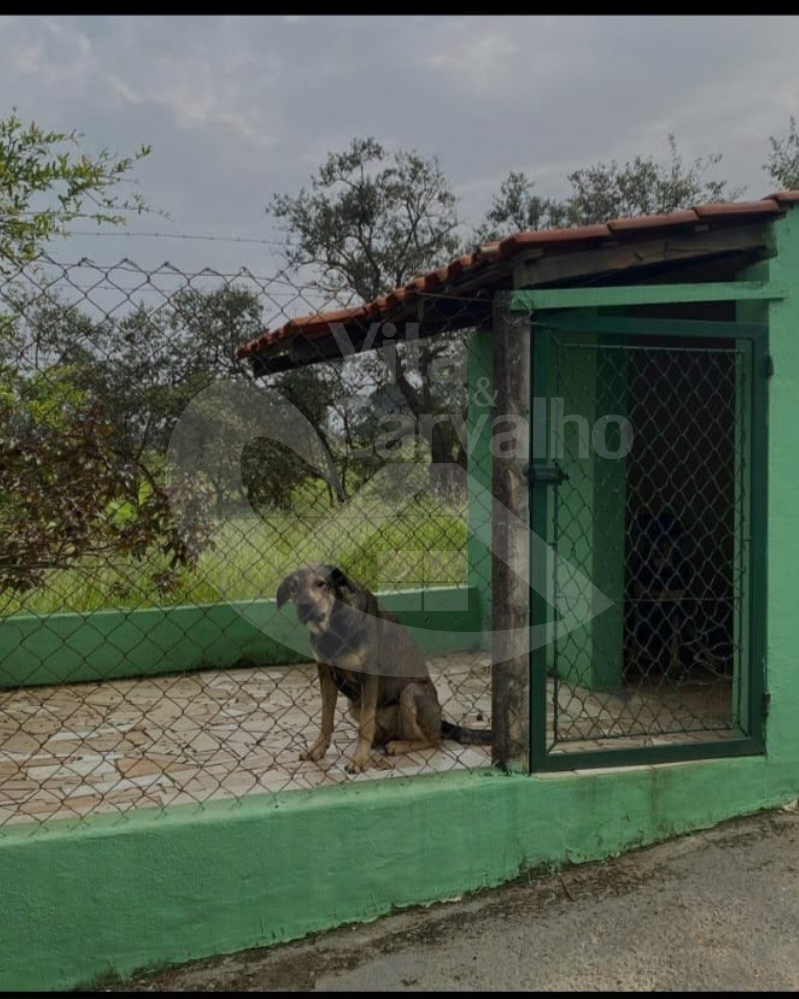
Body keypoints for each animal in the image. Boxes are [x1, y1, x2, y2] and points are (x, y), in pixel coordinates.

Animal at [276, 563, 490, 773]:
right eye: (293, 587)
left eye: (321, 583)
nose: (305, 606)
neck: (333, 626)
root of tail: (440, 723)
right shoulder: (326, 674)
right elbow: (326, 718)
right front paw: (318, 748)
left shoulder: (369, 676)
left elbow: (365, 724)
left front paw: (360, 759)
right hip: (354, 704)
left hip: (411, 692)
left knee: (433, 740)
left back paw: (398, 745)